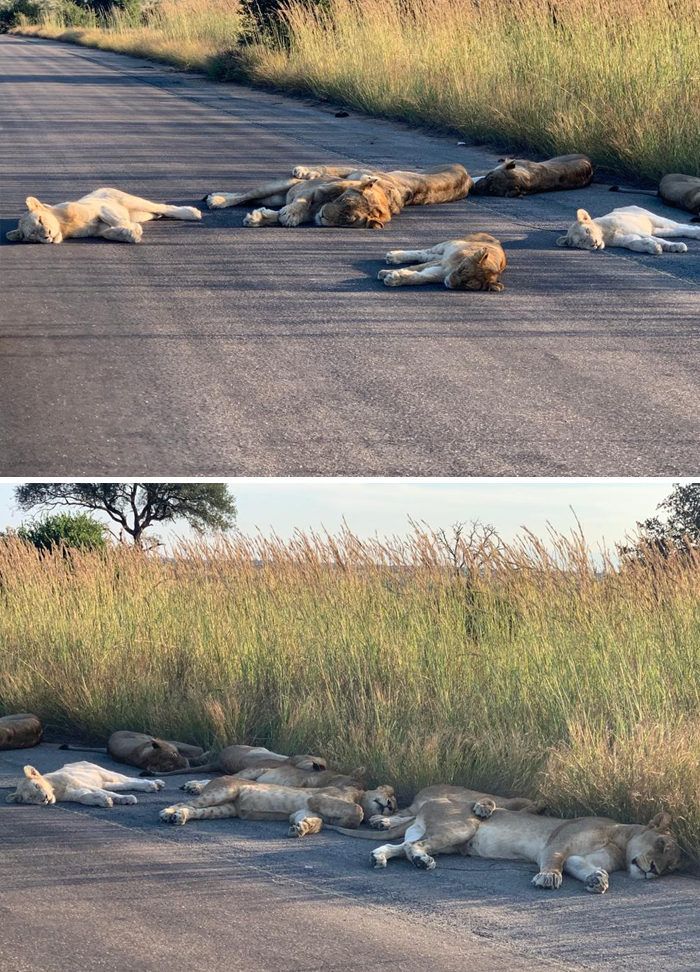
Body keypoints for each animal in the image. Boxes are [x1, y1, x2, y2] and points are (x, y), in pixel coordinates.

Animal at [4, 764, 165, 808]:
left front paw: (127, 799)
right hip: (107, 783)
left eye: (37, 786)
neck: (56, 789)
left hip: (105, 773)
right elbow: (86, 797)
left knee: (130, 779)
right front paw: (103, 801)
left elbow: (110, 794)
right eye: (31, 797)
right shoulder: (75, 794)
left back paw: (154, 784)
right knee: (125, 784)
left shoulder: (80, 783)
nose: (44, 798)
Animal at [6, 188, 201, 245]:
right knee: (156, 212)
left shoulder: (100, 207)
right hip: (141, 214)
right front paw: (129, 234)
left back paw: (192, 213)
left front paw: (132, 230)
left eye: (40, 220)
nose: (46, 235)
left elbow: (114, 219)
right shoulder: (97, 230)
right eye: (33, 234)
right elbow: (108, 233)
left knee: (164, 207)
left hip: (131, 201)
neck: (64, 226)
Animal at [161, 776, 396, 836]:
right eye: (390, 797)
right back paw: (167, 813)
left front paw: (301, 829)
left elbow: (316, 822)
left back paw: (180, 817)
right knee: (184, 802)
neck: (359, 795)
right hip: (223, 792)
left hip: (224, 809)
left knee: (196, 810)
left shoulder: (302, 810)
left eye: (394, 806)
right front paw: (347, 821)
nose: (389, 806)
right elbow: (358, 811)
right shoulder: (317, 798)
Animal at [378, 234, 508, 290]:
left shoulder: (440, 272)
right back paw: (393, 256)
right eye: (462, 270)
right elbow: (414, 268)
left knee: (425, 256)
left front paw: (393, 278)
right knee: (422, 253)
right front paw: (385, 273)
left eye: (466, 284)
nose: (449, 282)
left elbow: (420, 277)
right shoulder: (443, 264)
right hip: (445, 246)